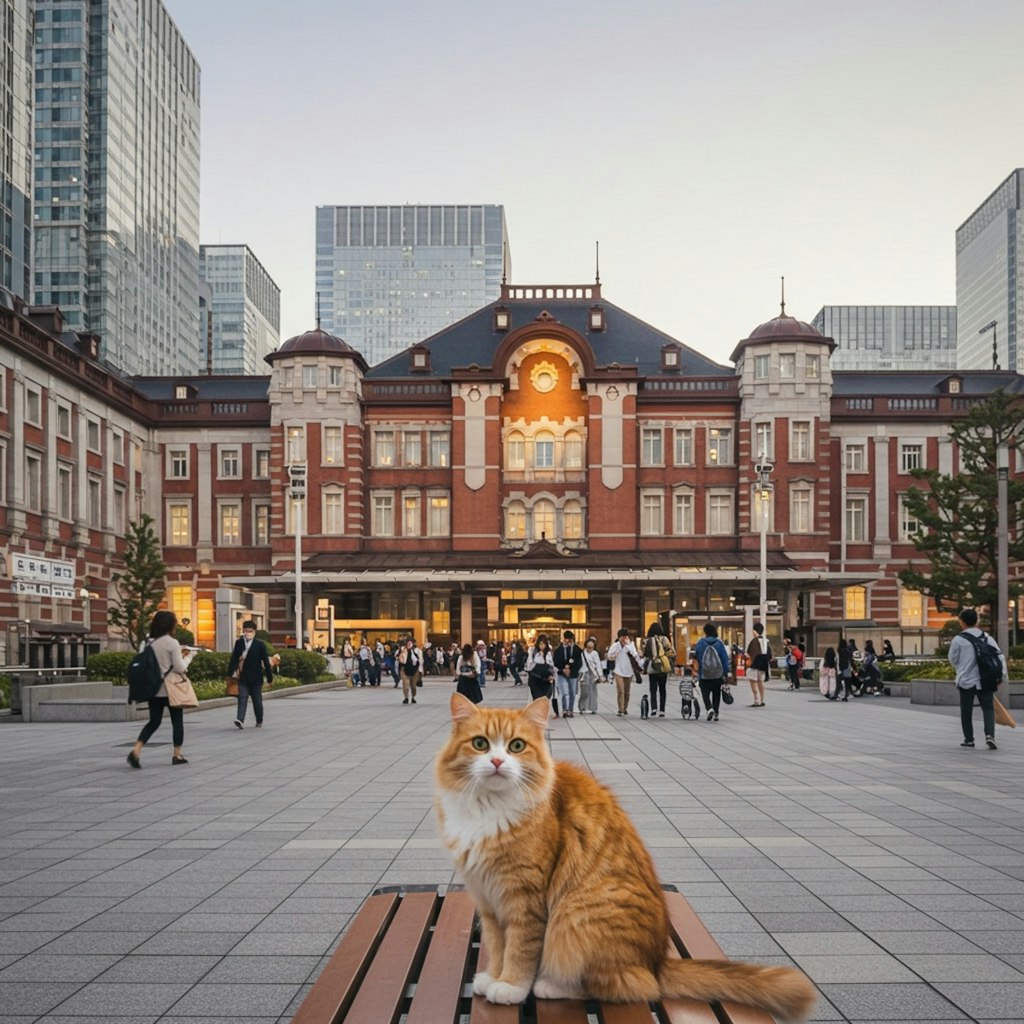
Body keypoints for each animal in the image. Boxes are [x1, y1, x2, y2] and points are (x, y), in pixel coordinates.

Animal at [436, 692, 819, 1019]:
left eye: (516, 746)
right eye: (481, 744)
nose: (497, 761)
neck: (489, 810)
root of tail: (656, 962)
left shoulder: (523, 899)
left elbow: (519, 949)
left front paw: (511, 986)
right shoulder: (488, 901)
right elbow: (498, 946)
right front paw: (493, 976)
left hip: (574, 915)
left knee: (627, 985)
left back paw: (549, 985)